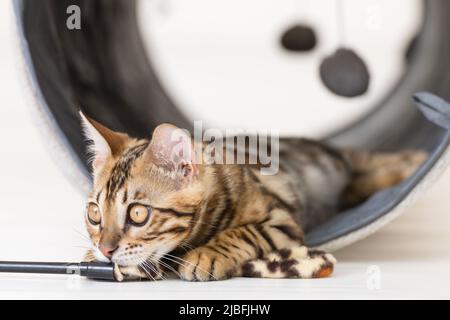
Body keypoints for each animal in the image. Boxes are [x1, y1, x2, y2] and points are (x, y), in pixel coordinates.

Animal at [79, 114, 428, 282]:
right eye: (94, 214)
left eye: (138, 214)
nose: (105, 250)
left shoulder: (280, 220)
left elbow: (243, 232)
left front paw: (207, 255)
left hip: (341, 163)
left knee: (365, 163)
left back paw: (413, 161)